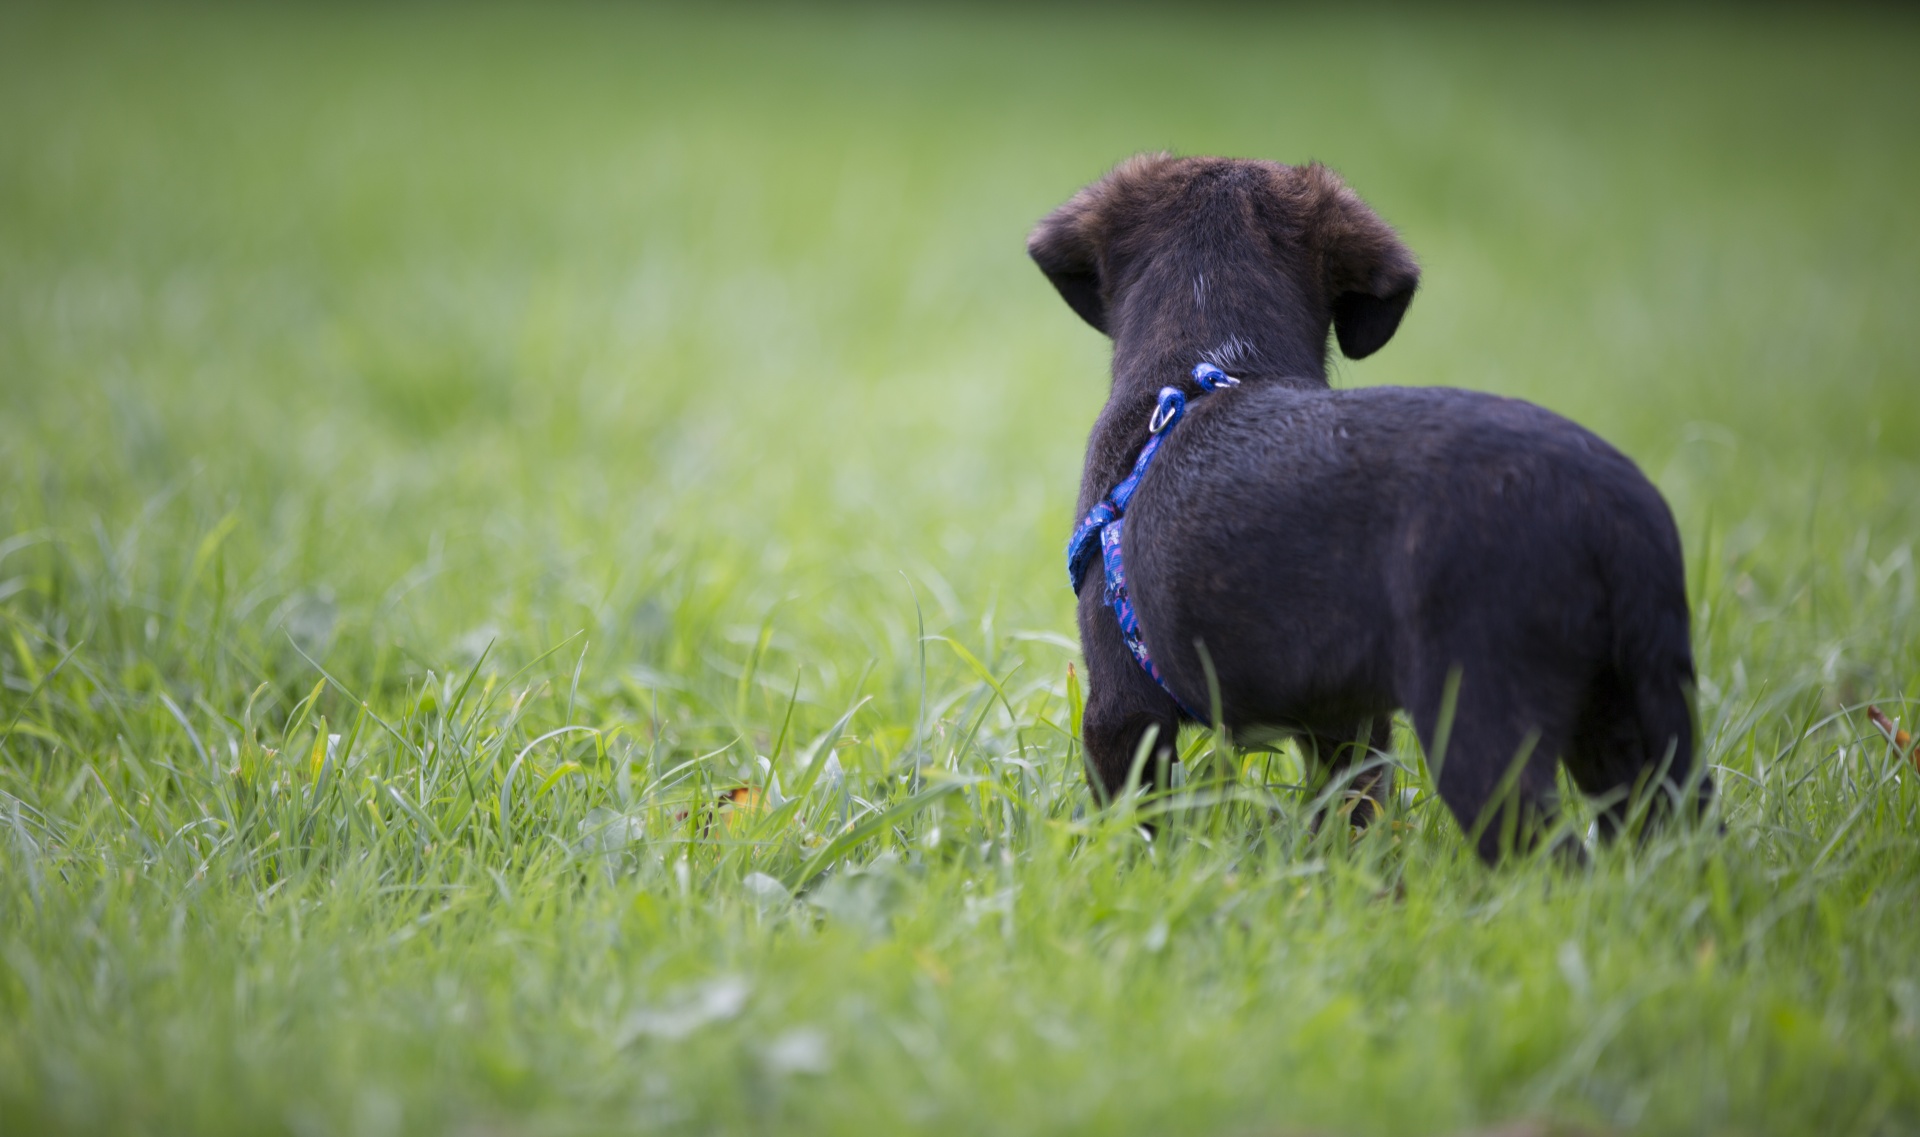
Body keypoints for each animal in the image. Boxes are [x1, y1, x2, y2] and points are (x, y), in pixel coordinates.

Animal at [1036, 153, 1712, 860]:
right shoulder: (1347, 721)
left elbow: (1131, 822)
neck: (1212, 360)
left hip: (1479, 710)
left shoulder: (1122, 710)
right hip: (1632, 707)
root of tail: (1609, 511)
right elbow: (1352, 811)